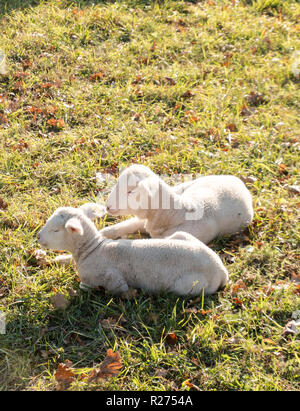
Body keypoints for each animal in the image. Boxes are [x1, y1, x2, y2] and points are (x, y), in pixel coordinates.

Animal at [38, 205, 229, 296]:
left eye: (56, 230)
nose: (38, 237)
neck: (93, 249)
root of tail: (222, 271)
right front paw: (55, 260)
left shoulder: (114, 280)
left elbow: (92, 286)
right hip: (181, 235)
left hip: (188, 286)